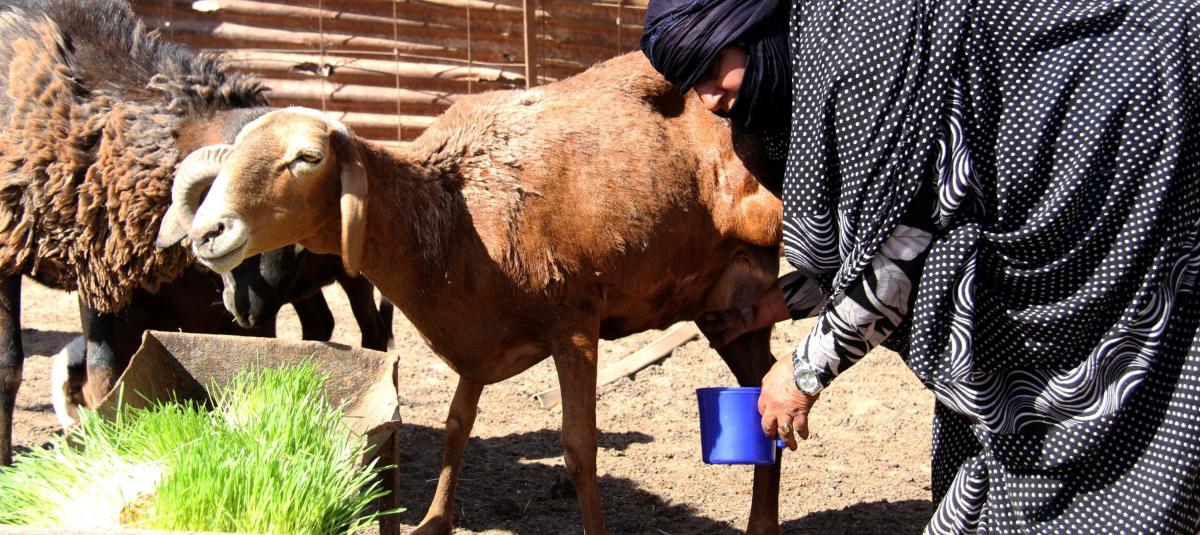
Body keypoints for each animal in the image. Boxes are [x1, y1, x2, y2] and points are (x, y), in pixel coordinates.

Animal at [161, 52, 785, 534]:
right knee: (764, 388)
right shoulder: (476, 339)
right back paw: (762, 521)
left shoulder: (575, 324)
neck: (451, 216)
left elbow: (579, 448)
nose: (208, 233)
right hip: (726, 306)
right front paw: (433, 520)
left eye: (306, 159)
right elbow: (456, 425)